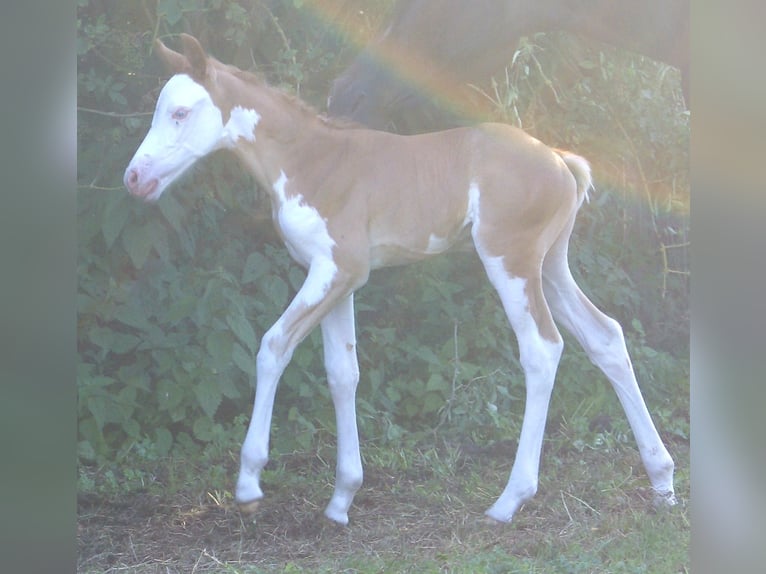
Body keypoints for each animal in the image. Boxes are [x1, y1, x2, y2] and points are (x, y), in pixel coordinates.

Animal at [124, 34, 676, 525]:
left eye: (179, 112)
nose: (134, 178)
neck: (310, 160)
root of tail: (560, 159)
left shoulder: (340, 268)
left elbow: (272, 346)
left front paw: (249, 483)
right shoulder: (336, 279)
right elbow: (341, 373)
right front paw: (341, 500)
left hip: (510, 260)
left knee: (542, 349)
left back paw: (508, 502)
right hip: (551, 265)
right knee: (606, 336)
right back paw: (662, 482)